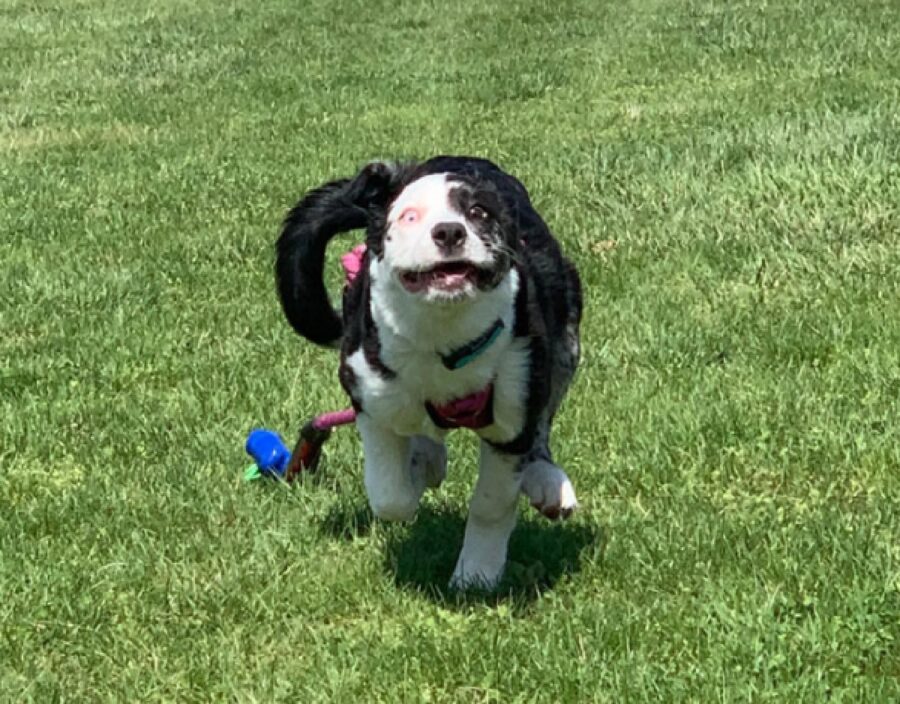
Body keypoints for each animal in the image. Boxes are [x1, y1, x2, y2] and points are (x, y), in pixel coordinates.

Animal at [276, 157, 584, 592]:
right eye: (409, 216)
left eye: (478, 212)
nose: (450, 231)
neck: (442, 336)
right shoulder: (368, 395)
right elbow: (390, 495)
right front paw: (417, 473)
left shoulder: (513, 410)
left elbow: (493, 502)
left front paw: (476, 574)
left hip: (564, 343)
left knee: (541, 425)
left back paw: (546, 482)